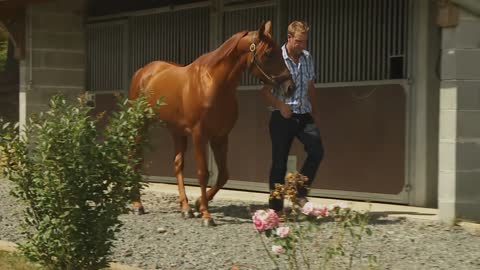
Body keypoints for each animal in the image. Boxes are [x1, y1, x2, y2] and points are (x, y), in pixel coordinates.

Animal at [129, 20, 292, 226]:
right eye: (269, 53)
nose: (290, 86)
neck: (212, 83)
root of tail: (143, 72)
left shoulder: (221, 136)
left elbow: (223, 174)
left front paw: (199, 203)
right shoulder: (200, 135)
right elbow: (203, 173)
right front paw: (206, 215)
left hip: (177, 131)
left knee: (177, 165)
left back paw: (185, 208)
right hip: (141, 126)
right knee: (136, 159)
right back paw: (137, 205)